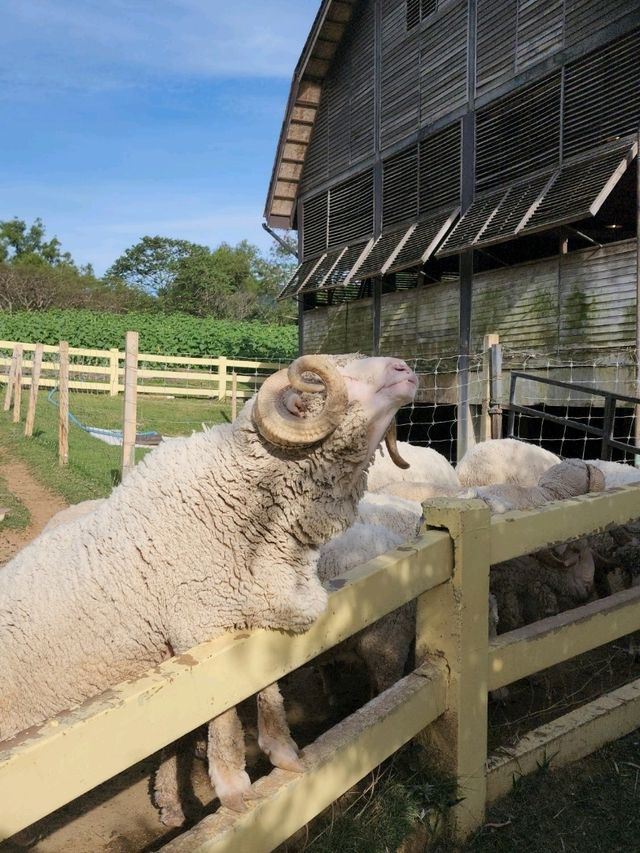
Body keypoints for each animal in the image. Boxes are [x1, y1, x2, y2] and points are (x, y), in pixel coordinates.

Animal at [1, 350, 420, 824]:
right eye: (338, 377)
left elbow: (266, 689)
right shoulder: (200, 631)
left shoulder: (256, 617)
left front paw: (282, 751)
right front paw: (233, 786)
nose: (406, 370)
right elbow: (225, 714)